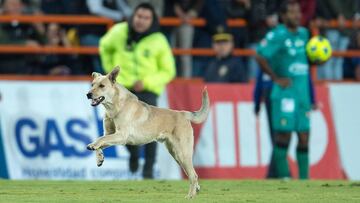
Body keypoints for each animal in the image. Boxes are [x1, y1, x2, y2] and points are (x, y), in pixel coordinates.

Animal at [86, 67, 210, 198]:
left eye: (102, 86)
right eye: (92, 84)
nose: (88, 94)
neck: (115, 107)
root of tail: (183, 113)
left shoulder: (121, 135)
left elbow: (100, 139)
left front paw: (93, 146)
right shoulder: (110, 133)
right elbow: (101, 141)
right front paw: (99, 157)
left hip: (182, 153)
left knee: (193, 175)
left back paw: (190, 196)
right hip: (176, 154)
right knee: (192, 174)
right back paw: (196, 189)